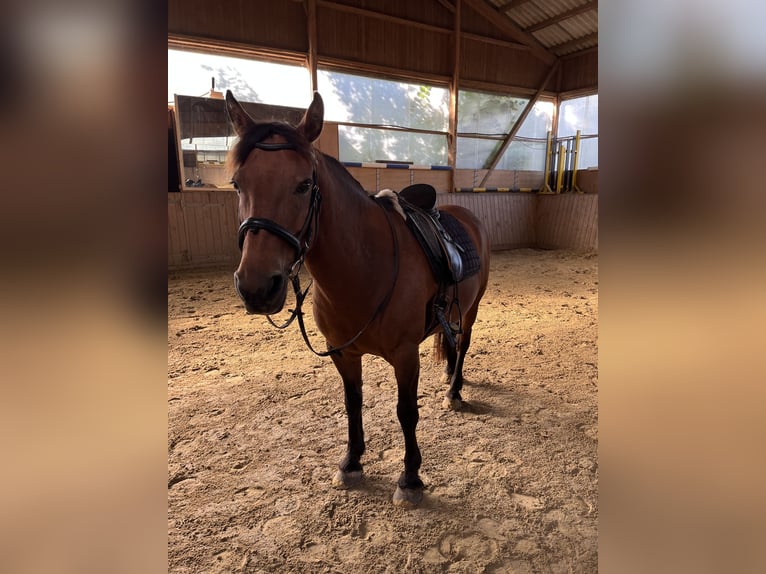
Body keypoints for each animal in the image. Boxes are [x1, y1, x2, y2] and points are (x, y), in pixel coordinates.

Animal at [225, 90, 490, 507]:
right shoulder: (343, 353)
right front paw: (351, 462)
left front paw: (410, 478)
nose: (256, 287)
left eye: (303, 185)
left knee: (462, 346)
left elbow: (406, 412)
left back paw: (455, 390)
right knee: (450, 343)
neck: (364, 266)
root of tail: (465, 214)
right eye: (237, 184)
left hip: (474, 309)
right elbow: (353, 404)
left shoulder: (405, 355)